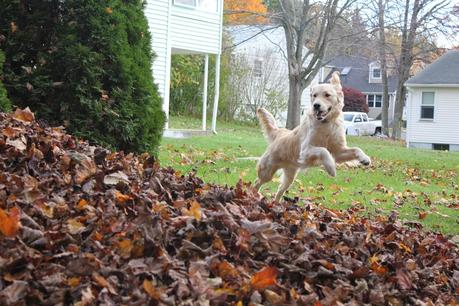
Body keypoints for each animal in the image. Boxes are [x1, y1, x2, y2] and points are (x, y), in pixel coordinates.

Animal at [256, 71, 372, 201]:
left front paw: (364, 158)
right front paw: (331, 167)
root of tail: (280, 133)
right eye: (314, 95)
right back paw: (253, 194)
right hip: (267, 170)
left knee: (280, 190)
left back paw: (275, 203)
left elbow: (356, 149)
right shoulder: (305, 150)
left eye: (327, 95)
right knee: (257, 182)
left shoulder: (338, 151)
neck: (326, 124)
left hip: (290, 176)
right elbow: (323, 150)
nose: (316, 105)